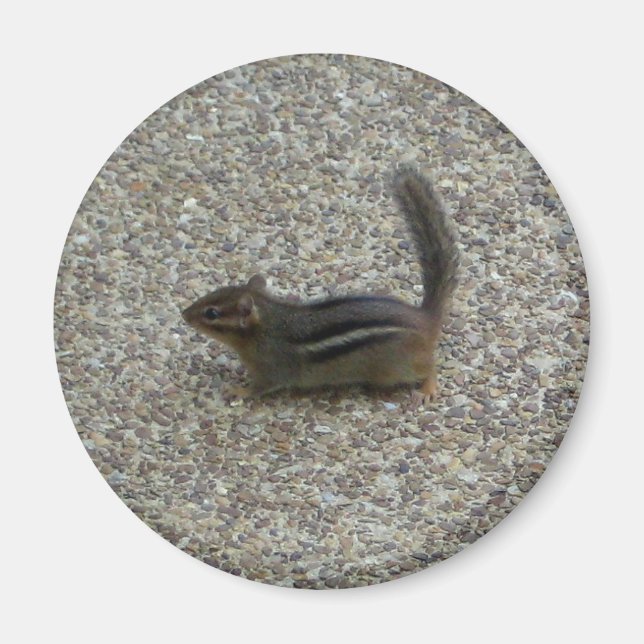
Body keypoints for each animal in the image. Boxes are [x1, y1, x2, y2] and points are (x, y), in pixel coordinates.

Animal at [182, 168, 458, 399]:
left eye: (211, 313)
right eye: (213, 293)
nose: (184, 314)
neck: (266, 325)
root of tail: (424, 319)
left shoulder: (273, 370)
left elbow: (260, 388)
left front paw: (238, 390)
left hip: (394, 369)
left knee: (429, 367)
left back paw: (428, 388)